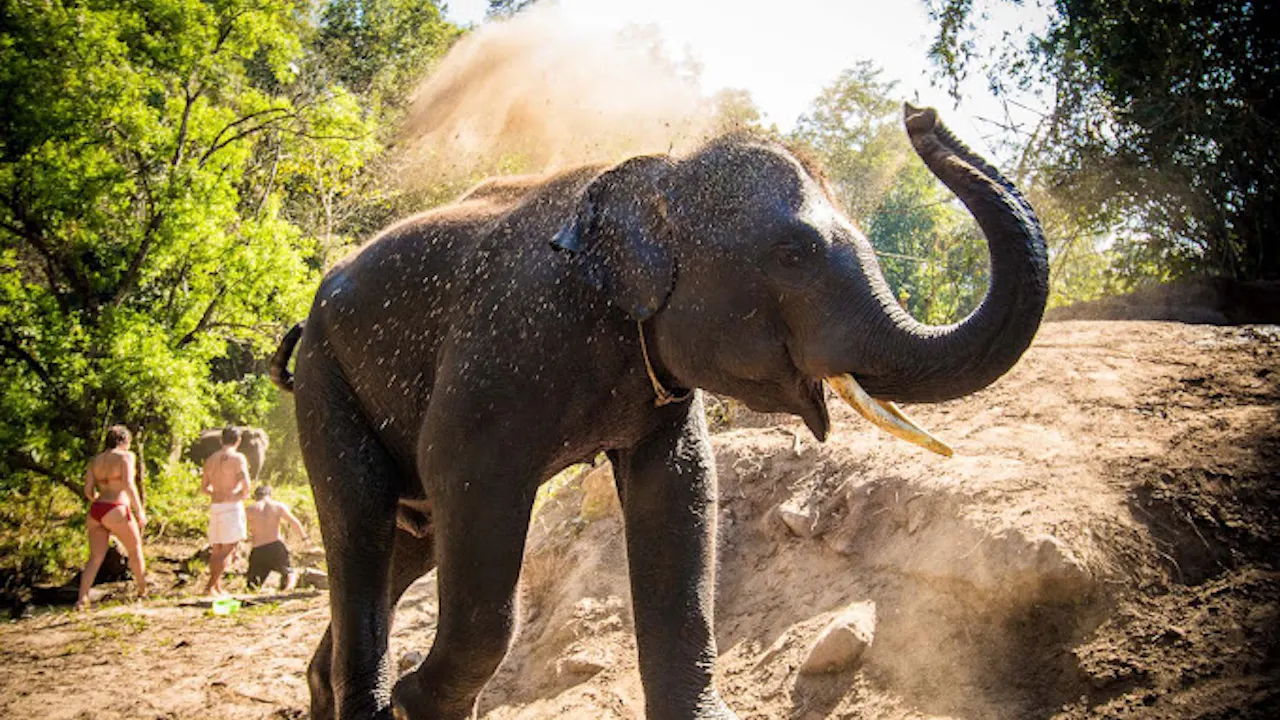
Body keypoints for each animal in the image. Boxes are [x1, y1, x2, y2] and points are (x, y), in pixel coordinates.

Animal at [269, 104, 1048, 720]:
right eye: (793, 253)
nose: (921, 113)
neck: (656, 178)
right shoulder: (505, 343)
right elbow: (467, 474)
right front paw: (414, 704)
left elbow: (680, 491)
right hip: (326, 381)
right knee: (361, 523)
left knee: (412, 543)